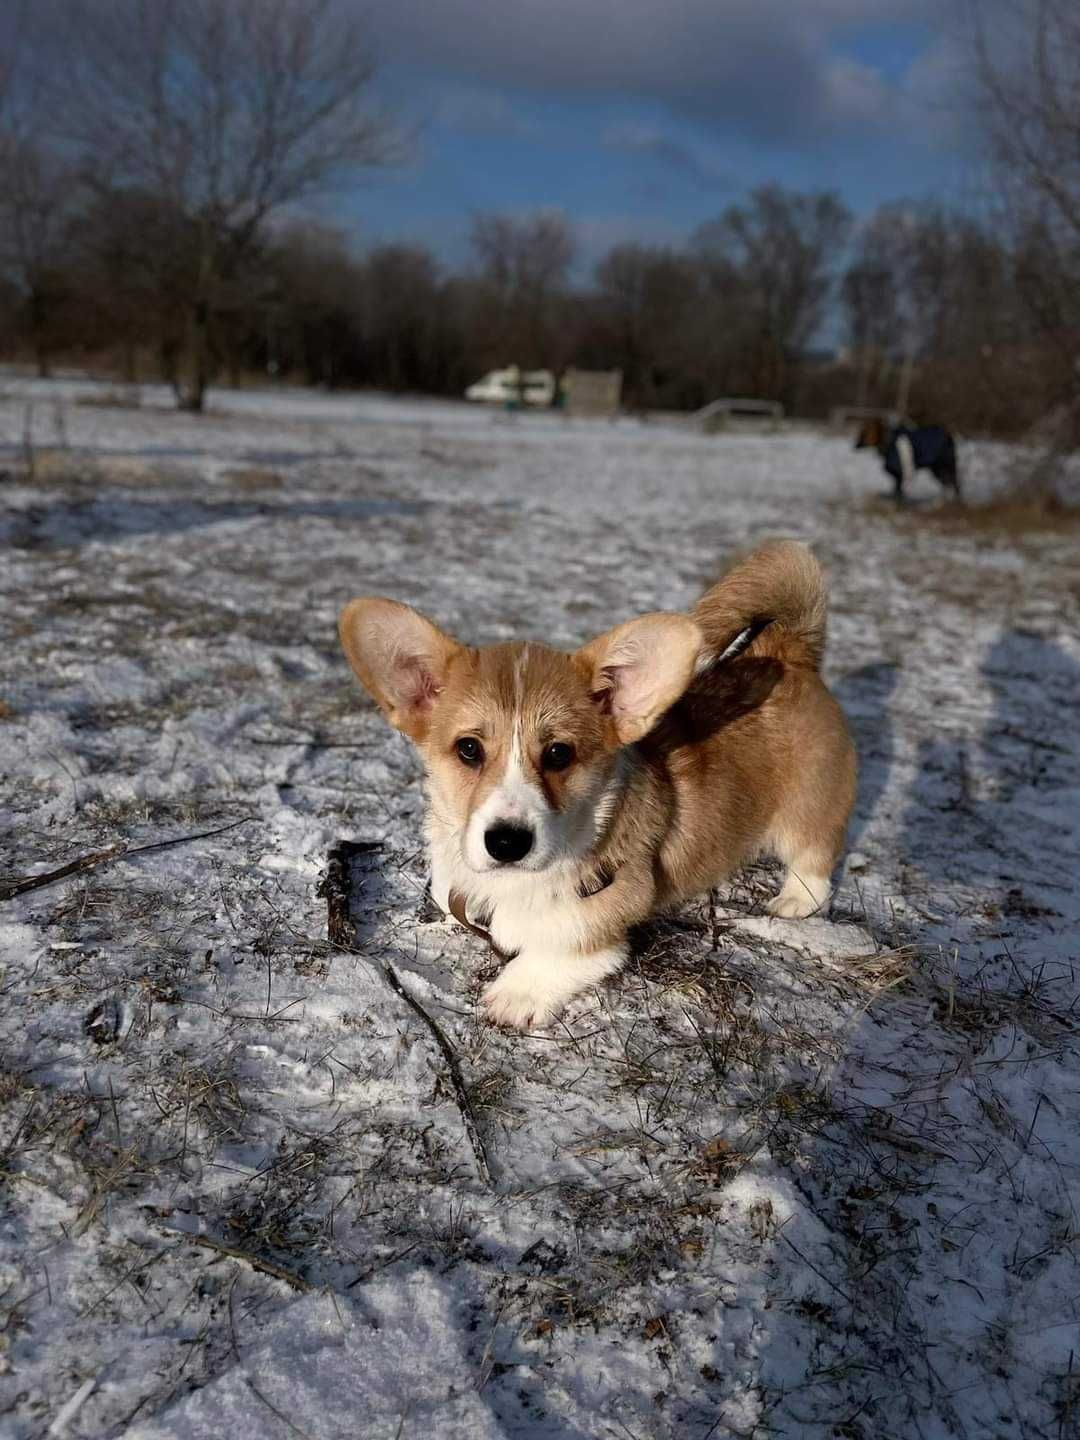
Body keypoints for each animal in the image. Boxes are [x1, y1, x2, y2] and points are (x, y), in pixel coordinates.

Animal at [338, 538, 852, 1025]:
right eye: (468, 749)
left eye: (558, 753)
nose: (507, 844)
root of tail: (790, 652)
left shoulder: (601, 920)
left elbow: (558, 950)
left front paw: (515, 994)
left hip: (807, 810)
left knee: (815, 860)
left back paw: (793, 900)